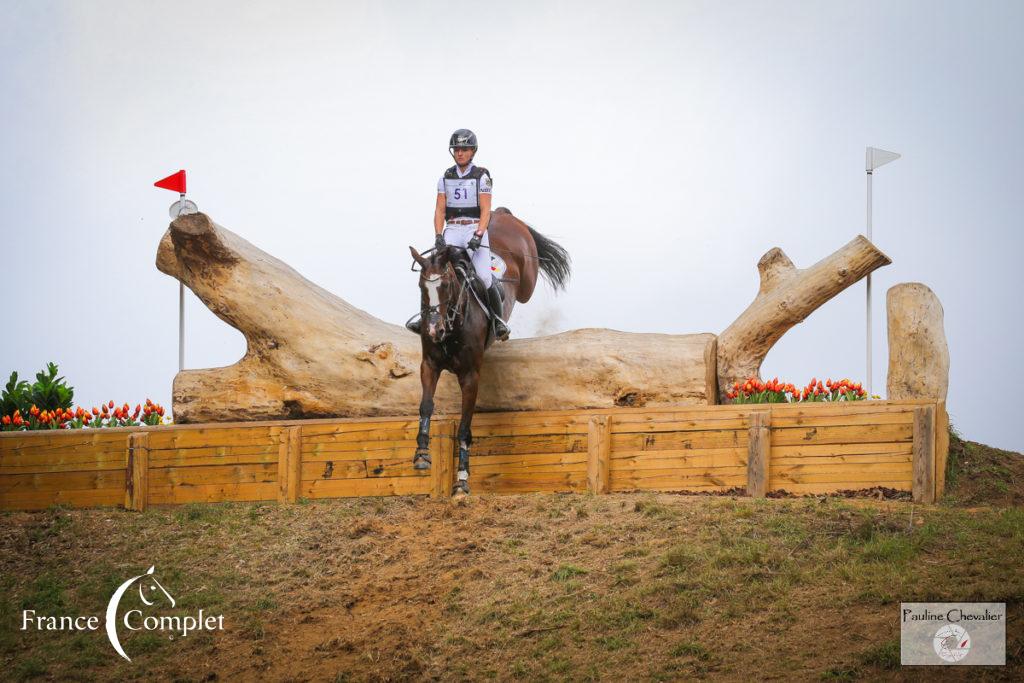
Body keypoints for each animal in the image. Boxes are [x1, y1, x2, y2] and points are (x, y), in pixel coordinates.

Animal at [405, 208, 569, 497]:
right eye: (421, 287)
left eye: (447, 285)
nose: (434, 329)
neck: (452, 327)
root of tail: (502, 214)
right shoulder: (429, 365)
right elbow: (426, 405)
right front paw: (422, 454)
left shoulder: (471, 376)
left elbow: (464, 426)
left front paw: (462, 480)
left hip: (527, 278)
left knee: (526, 285)